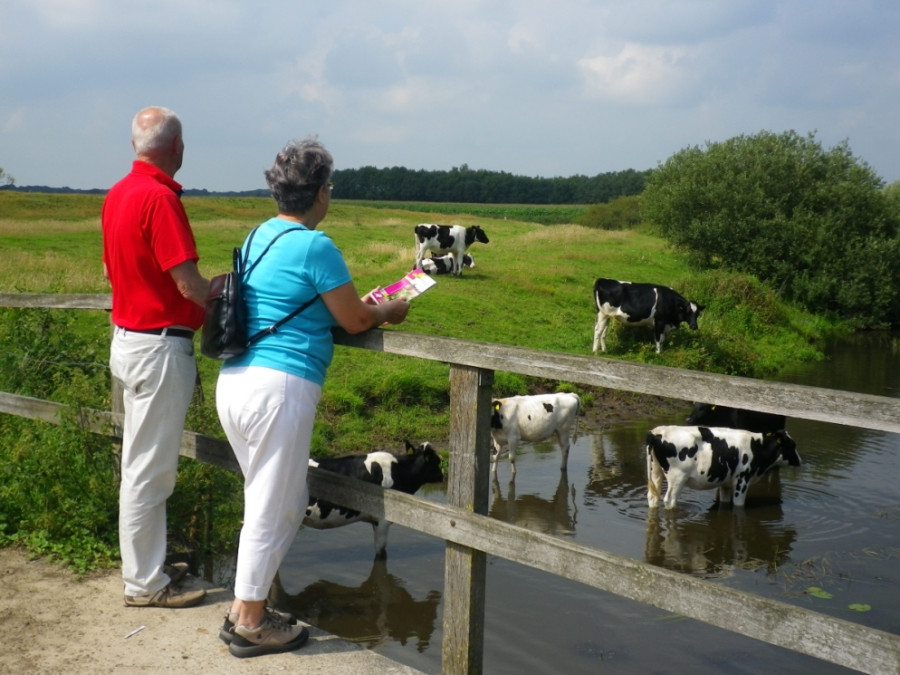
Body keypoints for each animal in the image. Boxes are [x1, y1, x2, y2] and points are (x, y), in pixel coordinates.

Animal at [648, 426, 800, 510]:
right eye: (792, 445)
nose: (800, 461)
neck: (758, 447)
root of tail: (658, 432)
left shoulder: (726, 484)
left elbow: (725, 502)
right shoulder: (742, 481)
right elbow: (738, 506)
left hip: (655, 472)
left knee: (653, 498)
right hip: (677, 477)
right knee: (669, 500)